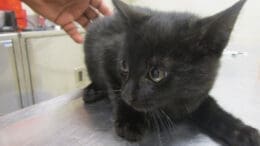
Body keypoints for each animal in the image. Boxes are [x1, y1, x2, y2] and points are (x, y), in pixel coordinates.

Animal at [83, 0, 260, 145]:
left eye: (156, 73)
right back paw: (92, 91)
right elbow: (114, 88)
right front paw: (130, 119)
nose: (127, 95)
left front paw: (241, 130)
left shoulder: (197, 94)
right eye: (124, 65)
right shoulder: (106, 52)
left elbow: (210, 106)